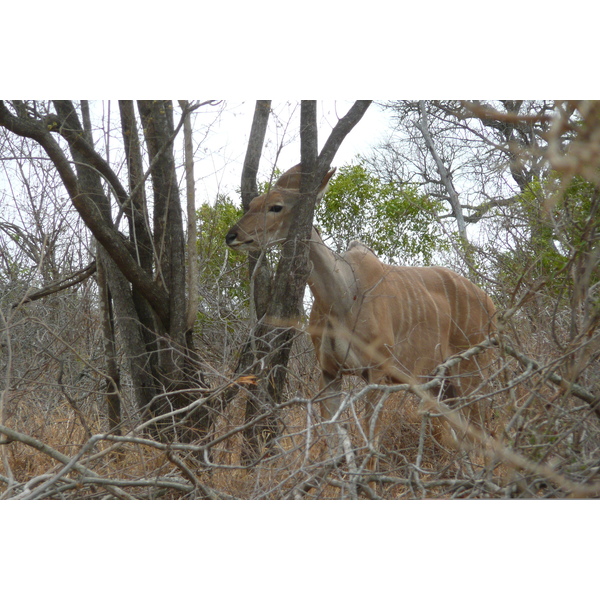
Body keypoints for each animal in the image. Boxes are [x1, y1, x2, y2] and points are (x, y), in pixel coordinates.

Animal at [225, 164, 496, 454]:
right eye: (252, 203)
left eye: (276, 206)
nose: (232, 236)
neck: (343, 296)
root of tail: (491, 304)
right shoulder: (329, 372)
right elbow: (332, 444)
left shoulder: (377, 374)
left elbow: (370, 444)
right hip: (441, 385)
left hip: (471, 373)